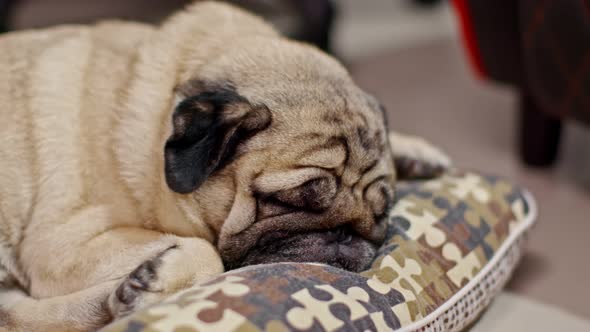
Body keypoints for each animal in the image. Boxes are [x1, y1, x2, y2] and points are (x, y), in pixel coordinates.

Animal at [0, 1, 454, 330]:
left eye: (381, 213)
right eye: (286, 201)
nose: (341, 235)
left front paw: (415, 149)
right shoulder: (62, 245)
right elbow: (207, 251)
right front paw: (160, 275)